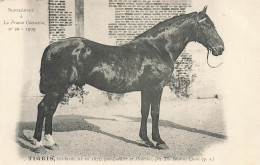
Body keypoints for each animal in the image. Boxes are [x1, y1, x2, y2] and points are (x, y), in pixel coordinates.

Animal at [32, 6, 223, 153]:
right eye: (208, 26)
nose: (221, 48)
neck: (158, 48)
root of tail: (51, 46)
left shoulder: (146, 89)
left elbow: (144, 112)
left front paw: (145, 140)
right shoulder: (156, 88)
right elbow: (155, 112)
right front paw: (159, 141)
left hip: (60, 88)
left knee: (51, 110)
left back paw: (51, 143)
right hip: (57, 87)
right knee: (43, 108)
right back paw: (38, 144)